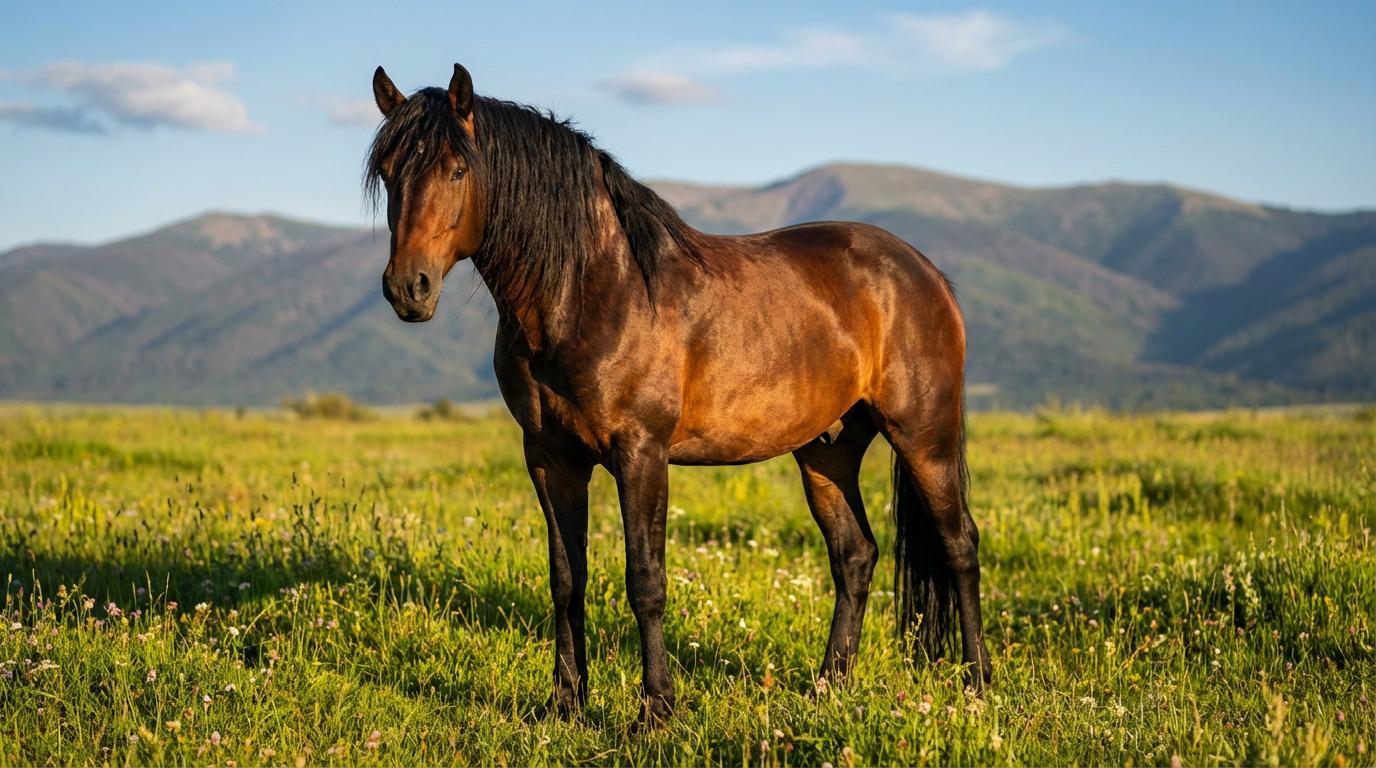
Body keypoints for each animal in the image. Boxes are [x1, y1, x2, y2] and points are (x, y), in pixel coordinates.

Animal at [365, 63, 990, 727]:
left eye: (458, 169)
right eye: (389, 172)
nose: (408, 288)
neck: (591, 290)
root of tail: (923, 271)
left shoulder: (641, 453)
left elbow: (646, 581)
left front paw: (656, 711)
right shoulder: (550, 458)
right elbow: (566, 578)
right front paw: (564, 705)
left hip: (924, 438)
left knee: (959, 545)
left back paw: (977, 684)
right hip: (828, 450)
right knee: (855, 555)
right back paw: (828, 687)